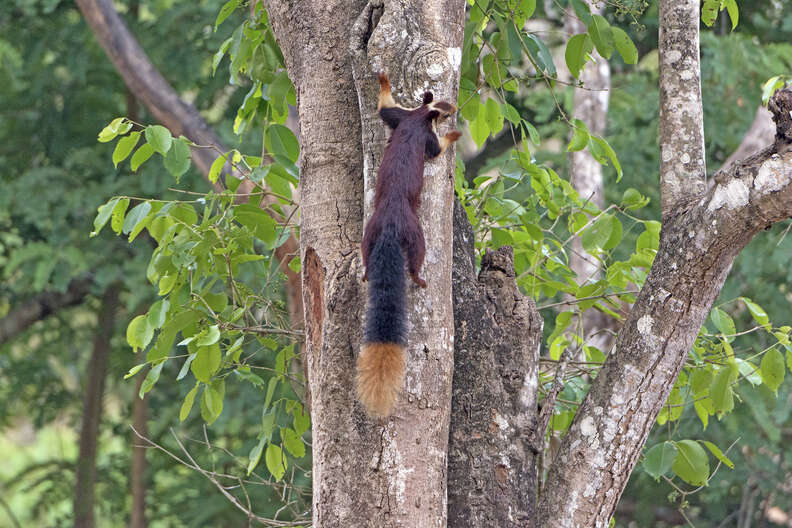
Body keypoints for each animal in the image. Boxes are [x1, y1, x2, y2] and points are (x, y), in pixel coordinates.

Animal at [356, 73, 461, 417]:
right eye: (445, 109)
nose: (454, 111)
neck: (419, 117)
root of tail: (391, 224)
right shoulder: (425, 136)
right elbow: (437, 151)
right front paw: (453, 136)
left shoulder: (399, 116)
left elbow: (384, 109)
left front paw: (383, 79)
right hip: (416, 234)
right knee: (416, 258)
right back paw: (419, 278)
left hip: (370, 232)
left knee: (366, 255)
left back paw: (366, 273)